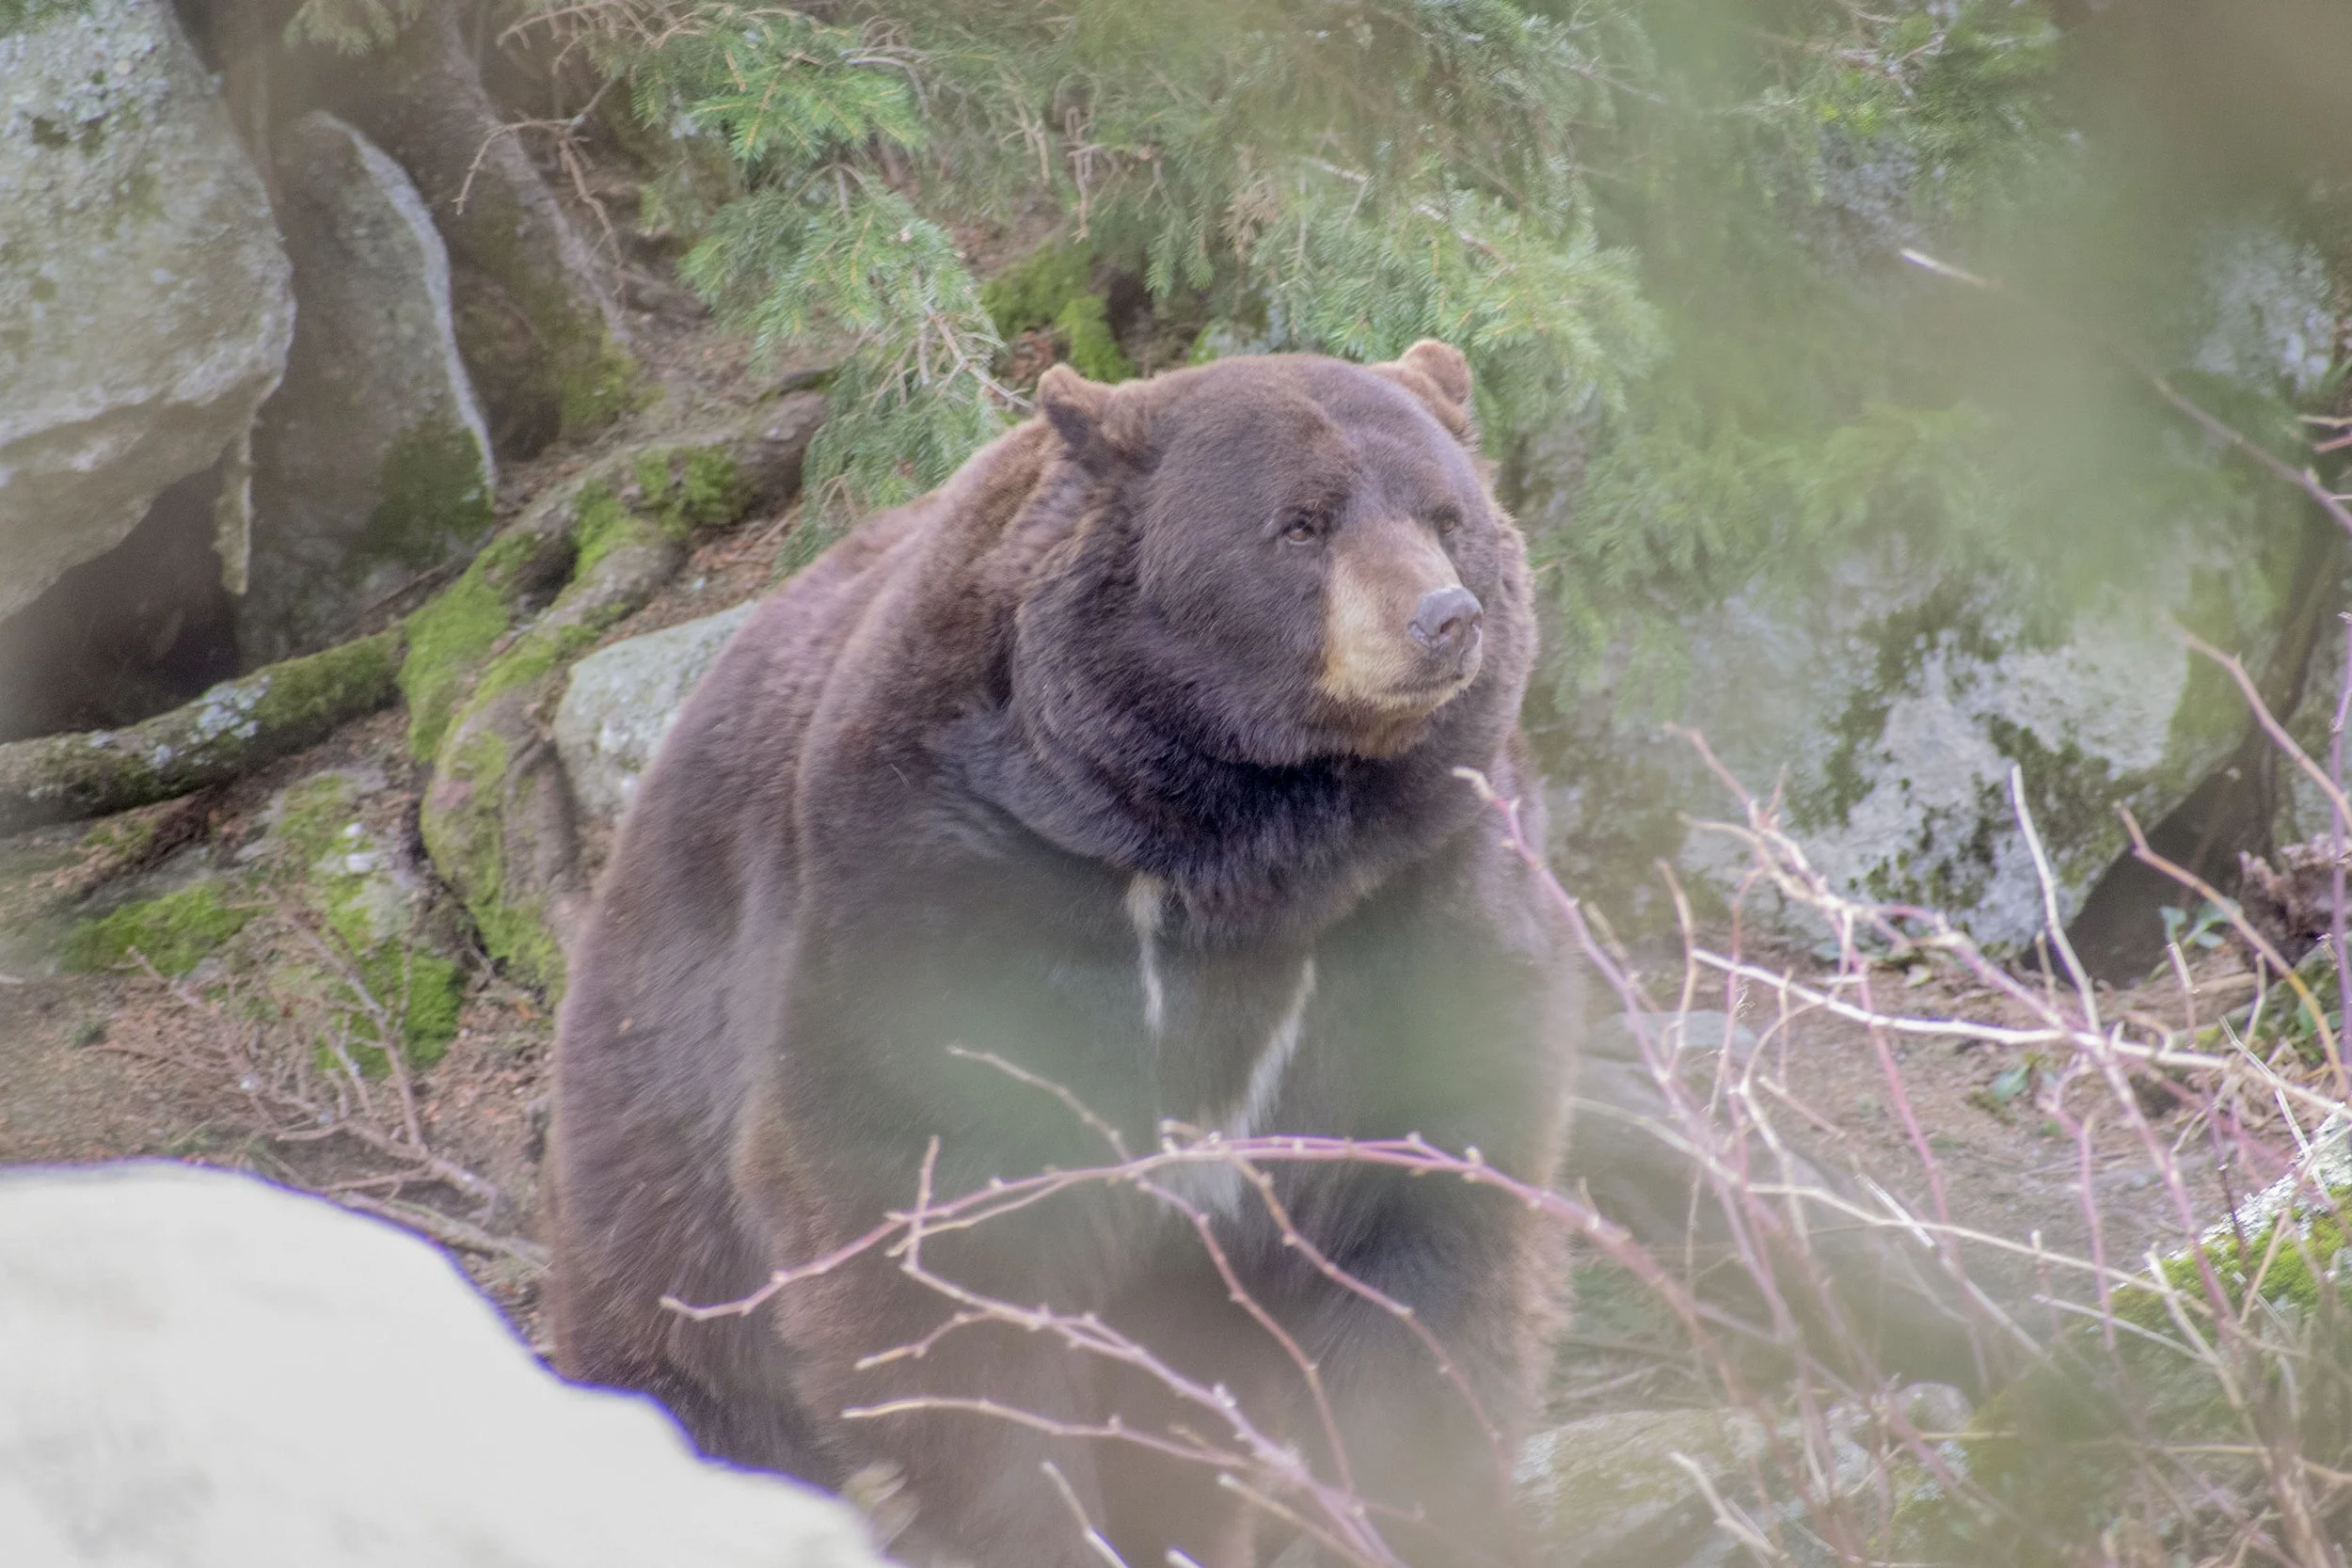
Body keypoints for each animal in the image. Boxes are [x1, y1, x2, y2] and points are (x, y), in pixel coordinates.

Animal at [546, 341, 1580, 1568]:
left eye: (1445, 512)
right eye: (1300, 521)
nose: (1443, 617)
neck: (1234, 841)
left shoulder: (1415, 900)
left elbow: (1428, 1232)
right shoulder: (948, 886)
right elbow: (932, 1239)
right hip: (661, 1115)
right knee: (683, 1345)